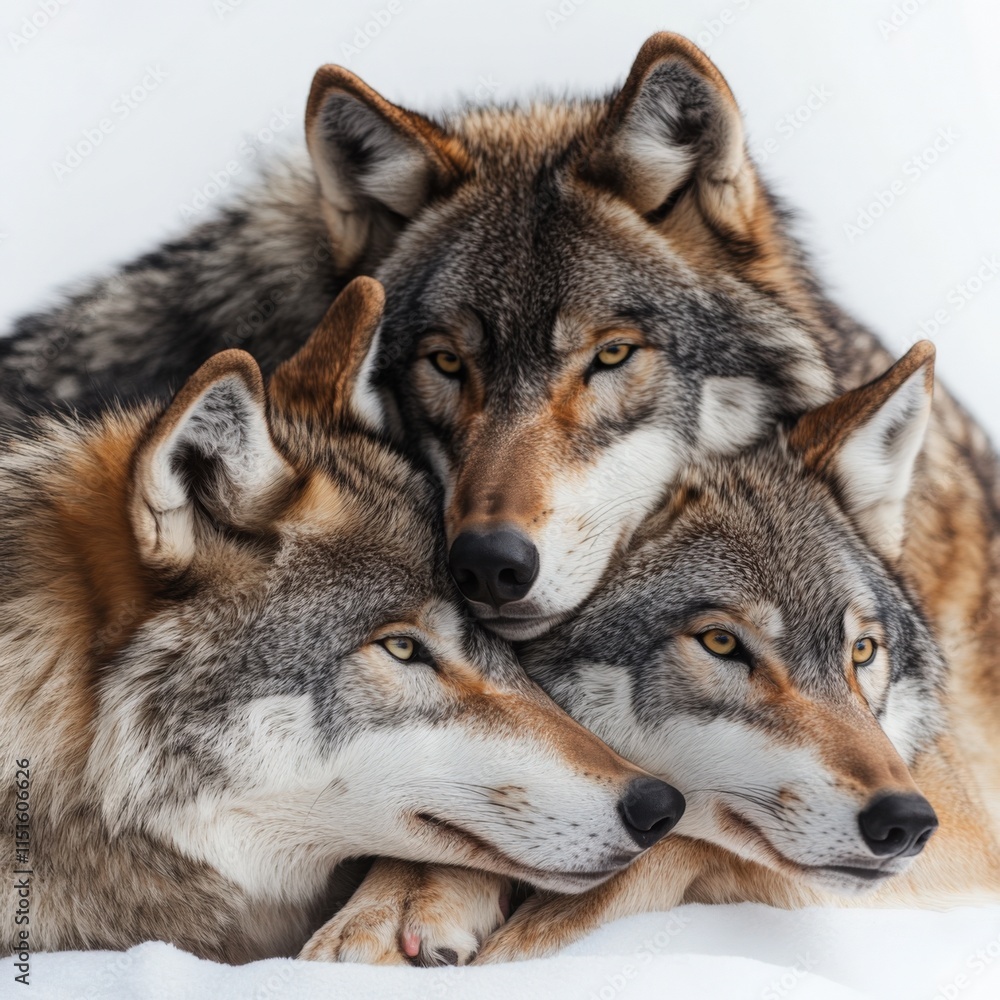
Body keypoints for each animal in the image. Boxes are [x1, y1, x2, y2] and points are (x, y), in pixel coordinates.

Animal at [300, 344, 1000, 966]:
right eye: (721, 642)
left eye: (862, 650)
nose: (905, 821)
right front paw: (397, 903)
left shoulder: (970, 838)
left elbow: (689, 841)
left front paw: (533, 940)